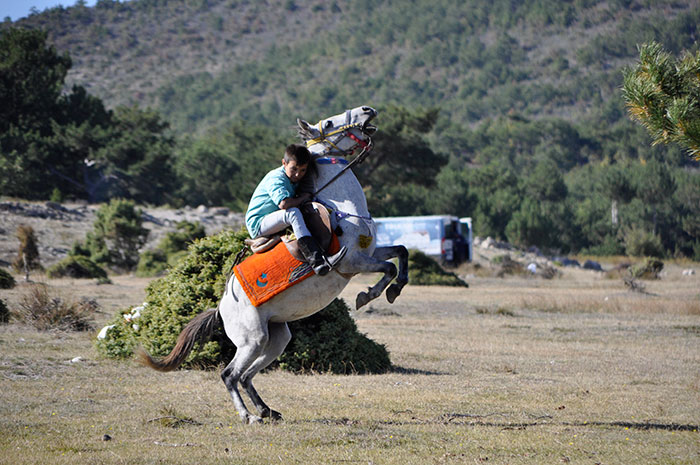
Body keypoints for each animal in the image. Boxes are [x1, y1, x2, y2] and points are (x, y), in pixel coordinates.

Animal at [139, 106, 408, 424]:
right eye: (330, 122)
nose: (367, 110)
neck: (345, 211)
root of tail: (220, 309)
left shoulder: (371, 252)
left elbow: (400, 254)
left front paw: (393, 291)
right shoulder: (353, 262)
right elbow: (388, 268)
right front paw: (368, 295)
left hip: (276, 338)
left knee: (246, 376)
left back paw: (268, 410)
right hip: (252, 339)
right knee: (230, 375)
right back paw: (248, 415)